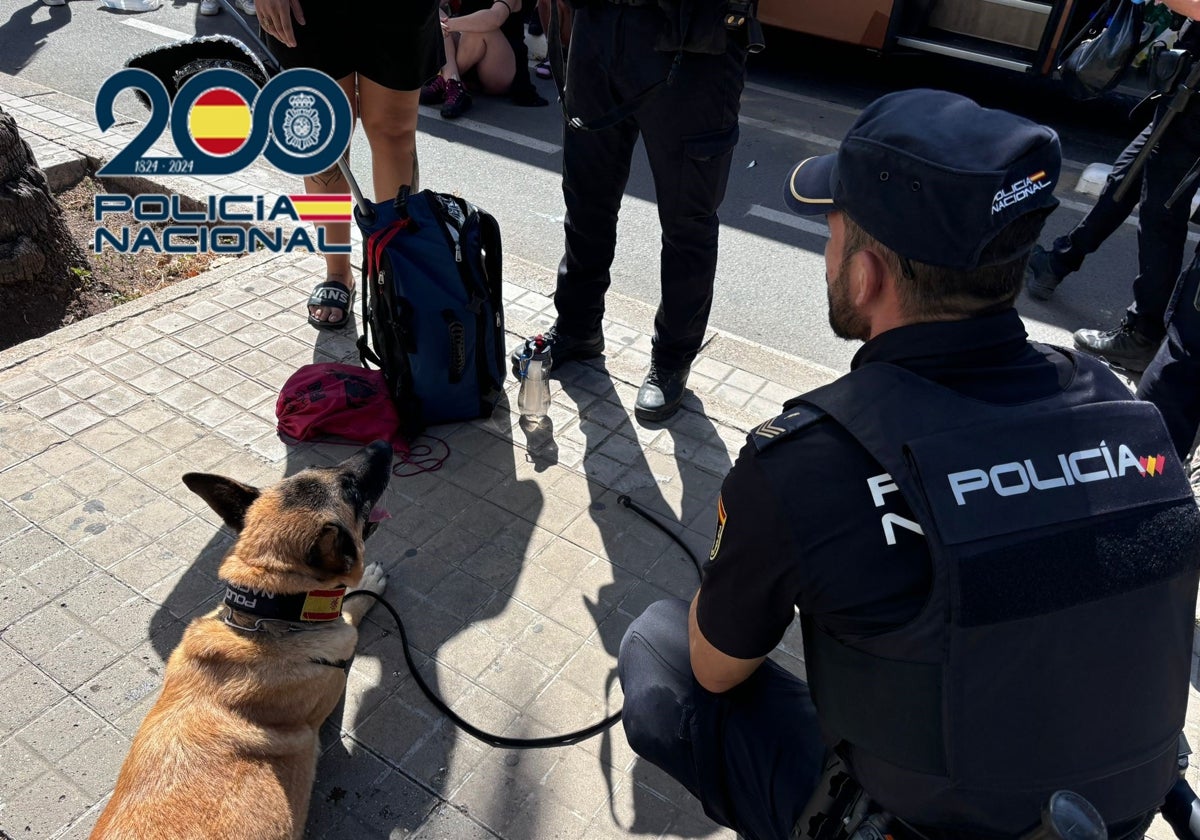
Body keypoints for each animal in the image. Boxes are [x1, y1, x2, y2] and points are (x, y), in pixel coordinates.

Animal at [94, 444, 393, 835]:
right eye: (352, 491)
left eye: (317, 465)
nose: (382, 446)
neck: (265, 616)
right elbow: (350, 608)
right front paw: (369, 585)